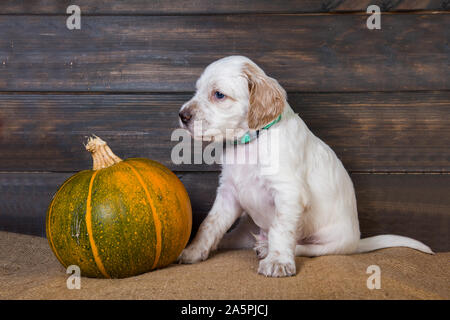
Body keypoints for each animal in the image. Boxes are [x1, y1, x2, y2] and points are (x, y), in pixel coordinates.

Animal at [177, 57, 432, 278]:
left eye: (218, 95)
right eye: (197, 90)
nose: (182, 115)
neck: (250, 142)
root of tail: (357, 242)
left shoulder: (288, 192)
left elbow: (281, 229)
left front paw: (278, 261)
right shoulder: (229, 193)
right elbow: (209, 225)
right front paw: (193, 251)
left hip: (331, 243)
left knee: (304, 248)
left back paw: (267, 249)